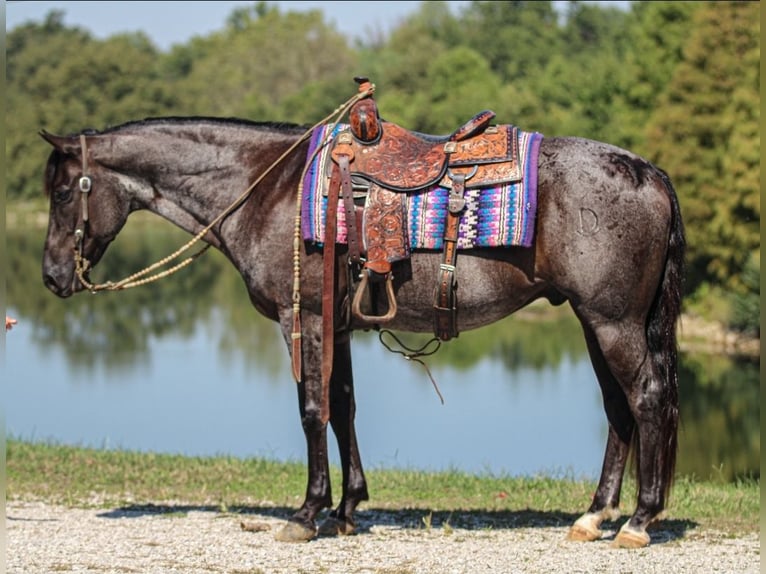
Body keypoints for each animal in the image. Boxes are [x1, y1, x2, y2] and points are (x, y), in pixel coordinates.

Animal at [39, 110, 685, 548]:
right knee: (619, 408)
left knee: (647, 399)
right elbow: (344, 406)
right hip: (594, 321)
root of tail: (650, 172)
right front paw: (347, 509)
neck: (267, 188)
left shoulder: (302, 319)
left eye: (65, 191)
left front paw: (307, 513)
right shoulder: (339, 326)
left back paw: (639, 520)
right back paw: (595, 515)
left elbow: (312, 410)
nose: (51, 276)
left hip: (613, 322)